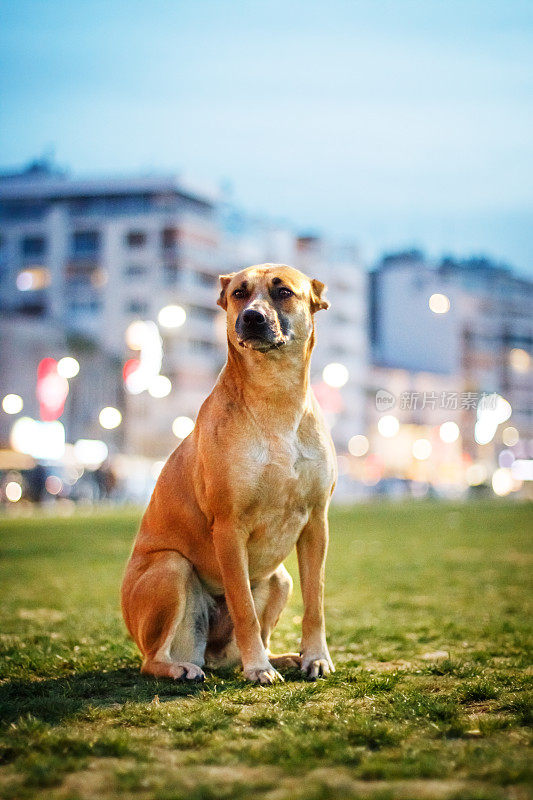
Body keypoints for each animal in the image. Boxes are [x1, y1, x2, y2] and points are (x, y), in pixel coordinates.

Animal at [121, 266, 336, 684]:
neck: (275, 396)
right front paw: (258, 669)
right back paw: (183, 668)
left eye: (283, 292)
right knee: (152, 658)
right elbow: (243, 607)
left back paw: (280, 657)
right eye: (239, 293)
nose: (251, 317)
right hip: (170, 569)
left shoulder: (317, 522)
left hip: (280, 578)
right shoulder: (229, 527)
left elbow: (315, 602)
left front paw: (315, 657)